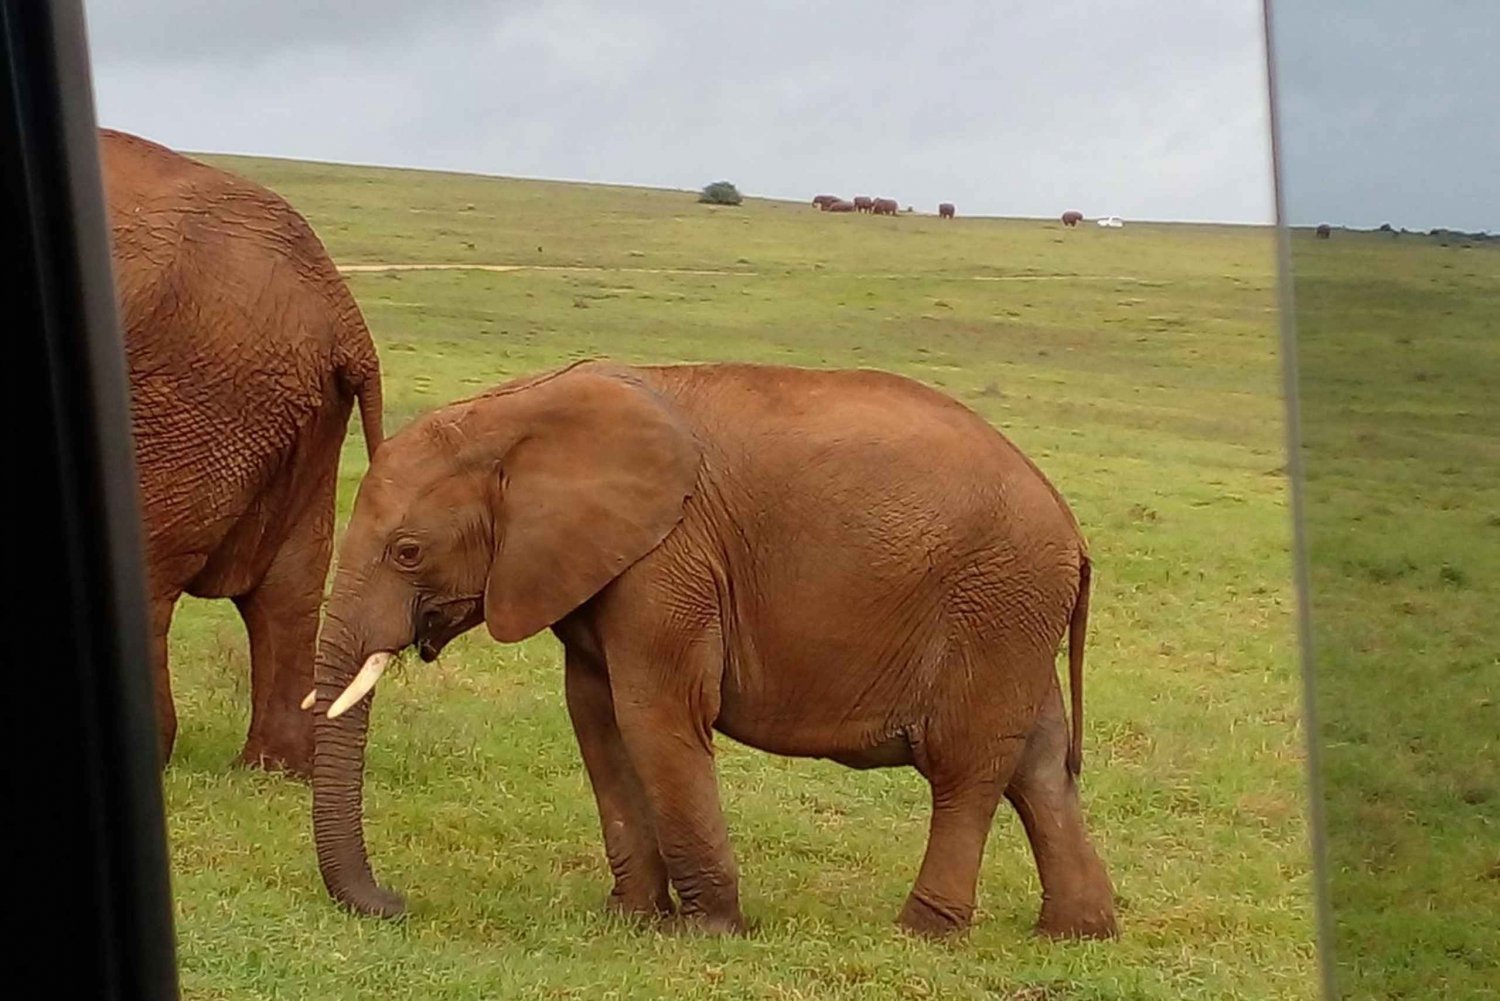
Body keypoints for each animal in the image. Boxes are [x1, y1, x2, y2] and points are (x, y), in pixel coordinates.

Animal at [304, 364, 1122, 942]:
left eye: (408, 552)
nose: (398, 902)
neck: (513, 415)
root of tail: (1073, 530)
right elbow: (596, 717)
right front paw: (630, 919)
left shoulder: (668, 562)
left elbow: (655, 715)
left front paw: (708, 931)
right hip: (1013, 617)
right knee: (1040, 762)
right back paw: (1078, 934)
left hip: (996, 603)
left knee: (967, 766)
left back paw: (922, 933)